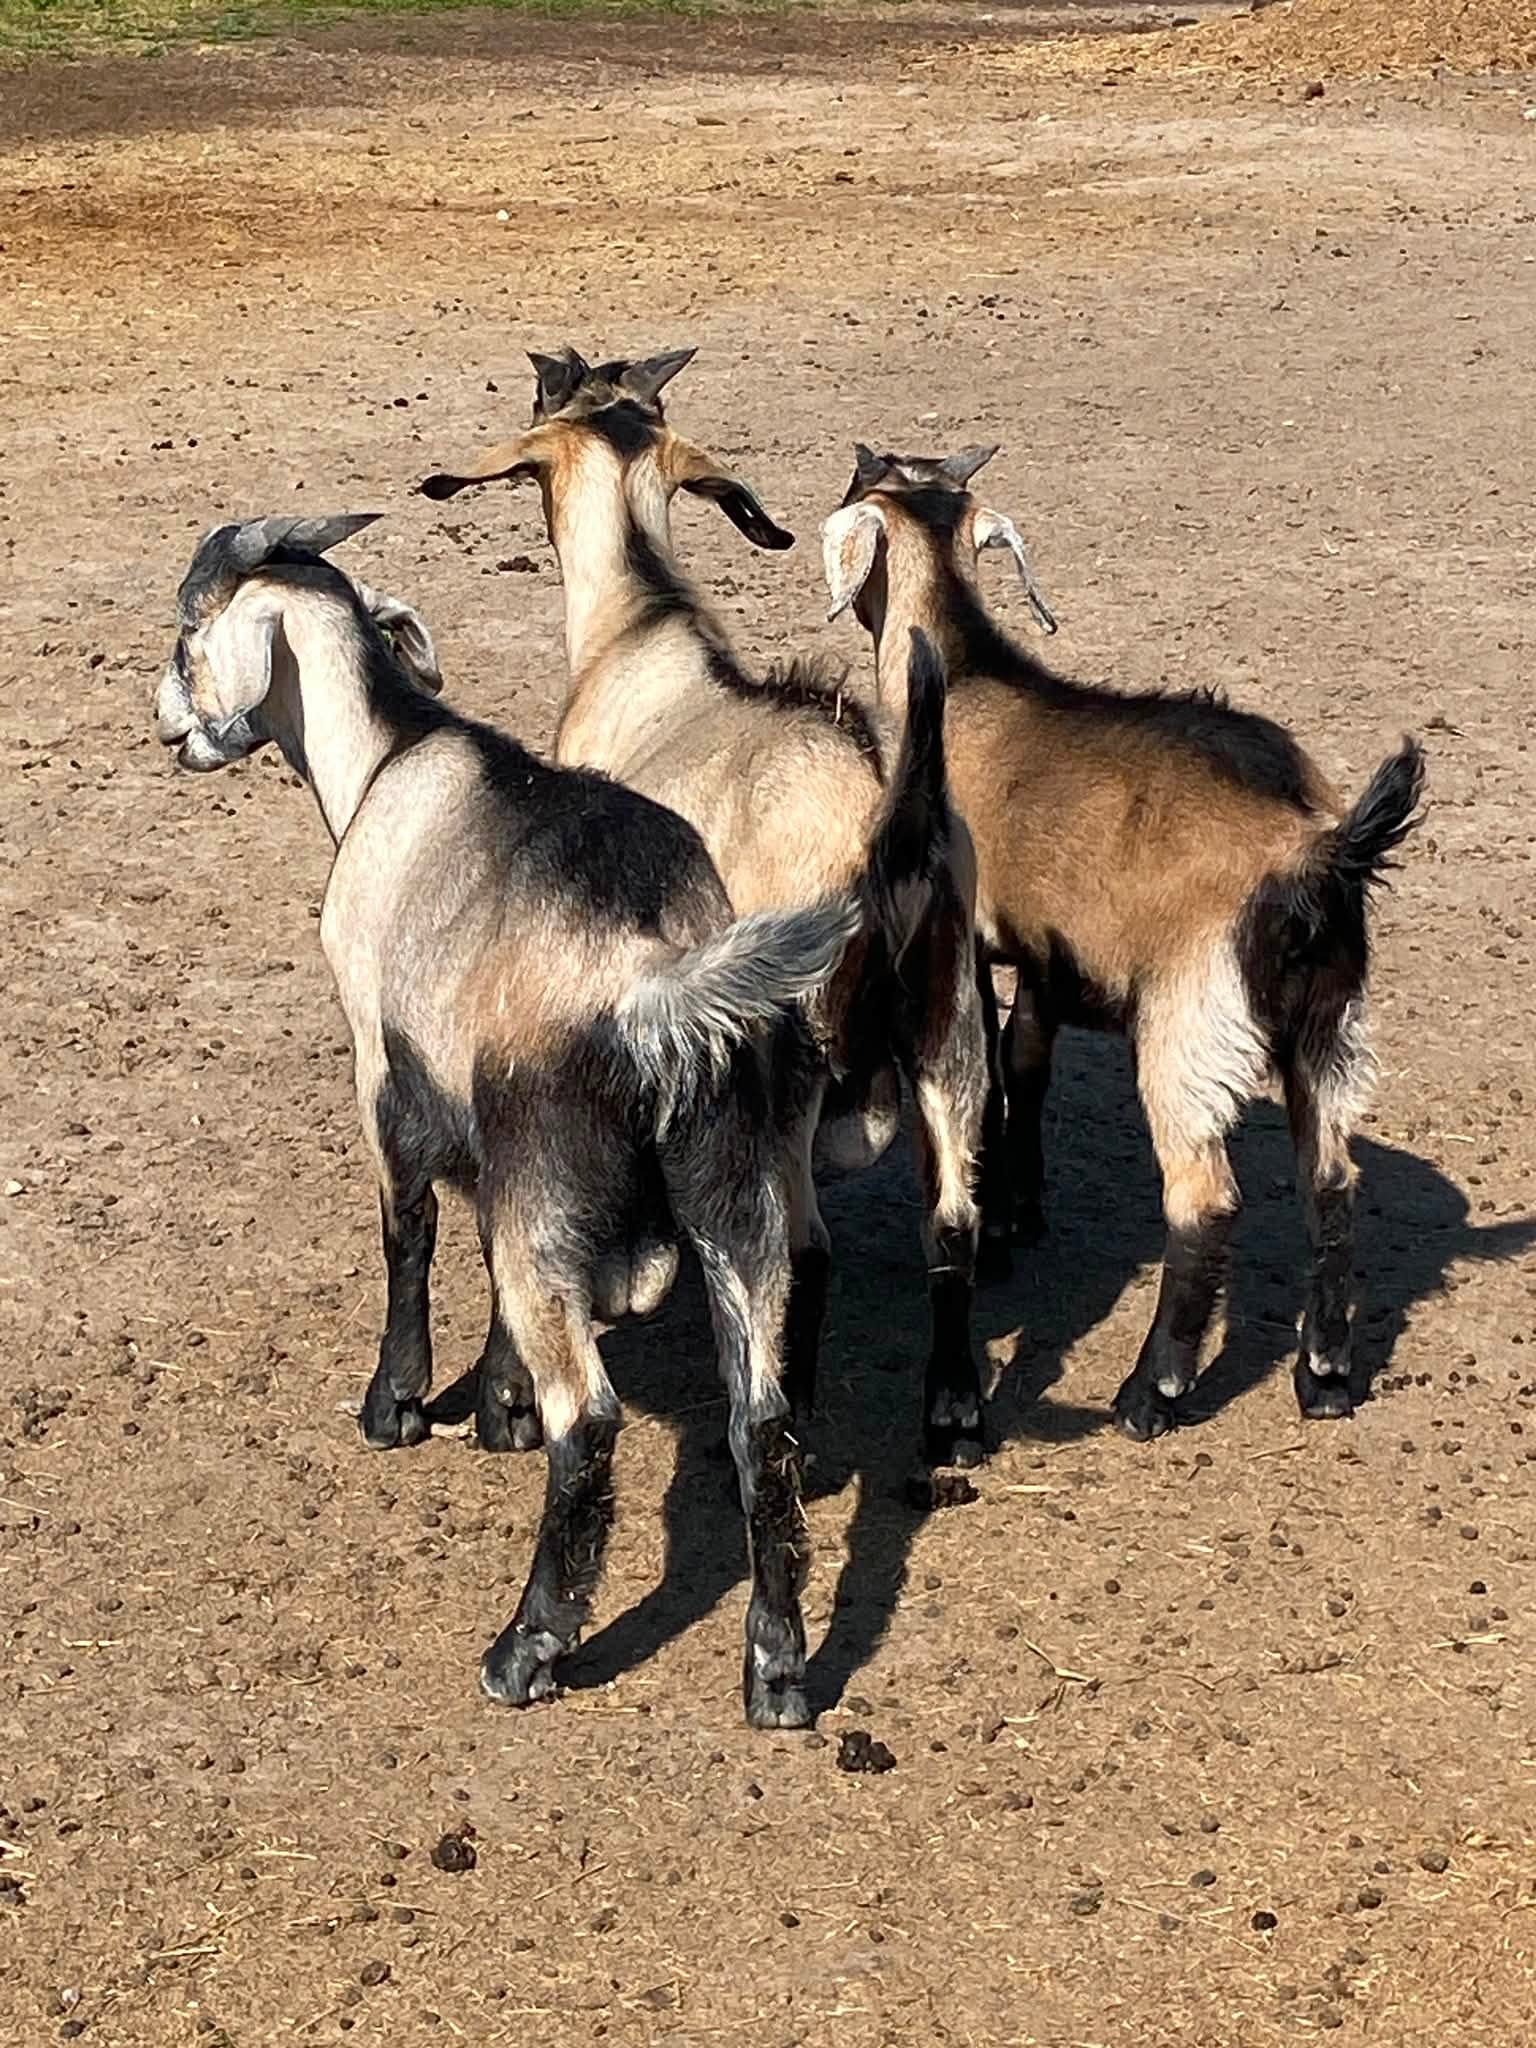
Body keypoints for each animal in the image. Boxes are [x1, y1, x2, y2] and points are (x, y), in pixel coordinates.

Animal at [153, 511, 860, 1727]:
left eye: (191, 631)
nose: (165, 716)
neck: (386, 758)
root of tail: (658, 973)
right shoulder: (499, 1153)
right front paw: (498, 1404)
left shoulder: (381, 1063)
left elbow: (411, 1235)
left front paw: (397, 1404)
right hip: (732, 1188)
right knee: (760, 1422)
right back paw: (775, 1669)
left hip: (561, 1181)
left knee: (595, 1424)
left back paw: (526, 1646)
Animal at [418, 348, 992, 1473]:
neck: (638, 633)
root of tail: (887, 822)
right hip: (952, 1032)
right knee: (951, 1225)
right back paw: (950, 1421)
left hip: (788, 1065)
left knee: (803, 1247)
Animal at [821, 445, 1425, 1440]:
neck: (971, 677)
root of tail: (1315, 851)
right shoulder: (1043, 957)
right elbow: (1026, 1065)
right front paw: (1023, 1213)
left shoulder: (973, 944)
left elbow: (993, 1078)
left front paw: (997, 1232)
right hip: (1331, 1026)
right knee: (1332, 1184)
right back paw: (1326, 1376)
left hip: (1190, 1030)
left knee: (1205, 1203)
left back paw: (1153, 1392)